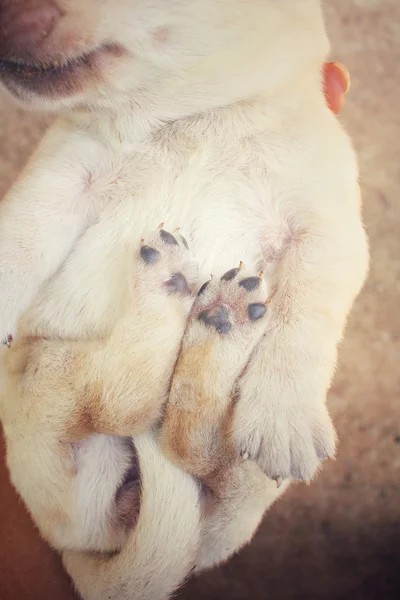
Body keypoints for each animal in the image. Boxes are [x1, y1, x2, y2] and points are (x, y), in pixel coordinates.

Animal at [0, 1, 368, 600]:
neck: (192, 115)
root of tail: (88, 543)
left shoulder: (327, 230)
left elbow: (305, 317)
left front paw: (284, 413)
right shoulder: (62, 173)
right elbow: (17, 237)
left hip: (240, 493)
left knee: (187, 439)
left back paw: (220, 319)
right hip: (43, 378)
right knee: (126, 403)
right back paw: (174, 294)